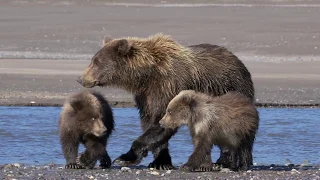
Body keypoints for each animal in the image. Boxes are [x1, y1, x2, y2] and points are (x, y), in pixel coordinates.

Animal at [76, 33, 254, 170]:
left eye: (96, 62)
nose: (80, 78)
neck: (146, 76)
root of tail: (240, 62)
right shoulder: (145, 96)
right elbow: (150, 122)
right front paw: (160, 162)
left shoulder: (168, 87)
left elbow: (161, 121)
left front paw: (124, 157)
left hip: (232, 88)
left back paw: (232, 161)